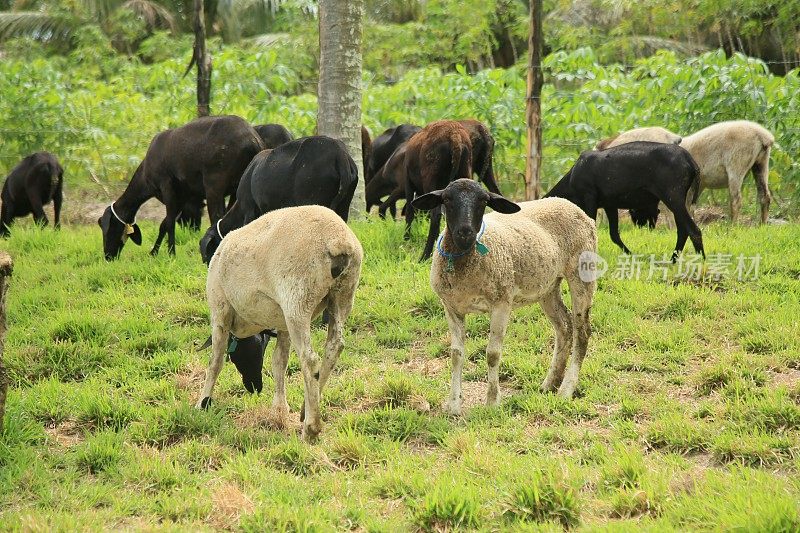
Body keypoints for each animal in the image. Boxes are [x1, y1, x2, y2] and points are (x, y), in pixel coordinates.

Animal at [198, 204, 364, 440]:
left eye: (239, 355)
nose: (254, 388)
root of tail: (338, 240)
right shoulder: (282, 323)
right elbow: (279, 362)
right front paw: (279, 409)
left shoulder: (220, 311)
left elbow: (215, 362)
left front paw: (202, 403)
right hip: (343, 295)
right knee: (334, 347)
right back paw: (306, 409)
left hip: (298, 301)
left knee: (310, 359)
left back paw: (311, 428)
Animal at [412, 179, 592, 412]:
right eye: (447, 199)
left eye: (483, 201)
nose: (465, 232)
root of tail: (569, 204)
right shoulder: (451, 307)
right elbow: (456, 355)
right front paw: (453, 405)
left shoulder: (501, 304)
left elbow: (492, 354)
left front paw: (492, 401)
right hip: (548, 286)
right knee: (564, 327)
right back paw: (549, 384)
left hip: (582, 273)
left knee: (582, 332)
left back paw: (566, 389)